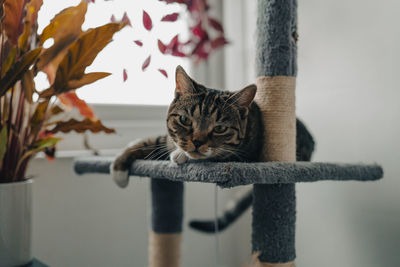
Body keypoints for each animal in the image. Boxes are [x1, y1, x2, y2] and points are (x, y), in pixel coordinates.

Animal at [111, 66, 314, 233]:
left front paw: (180, 156)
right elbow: (150, 142)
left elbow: (209, 156)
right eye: (184, 120)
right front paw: (119, 168)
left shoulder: (244, 155)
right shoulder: (166, 140)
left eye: (220, 128)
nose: (197, 142)